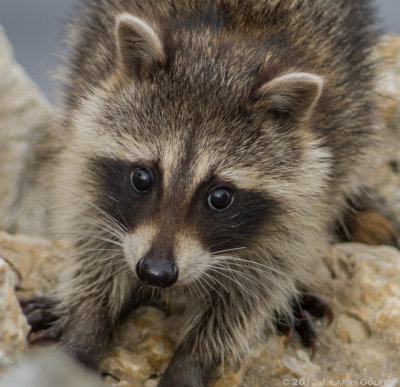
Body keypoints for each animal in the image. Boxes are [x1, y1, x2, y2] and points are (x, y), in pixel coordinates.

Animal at [21, 0, 394, 386]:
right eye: (142, 177)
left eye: (220, 197)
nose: (155, 272)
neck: (222, 54)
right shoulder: (87, 139)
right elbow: (93, 242)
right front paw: (87, 322)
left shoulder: (309, 190)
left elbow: (254, 289)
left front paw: (193, 358)